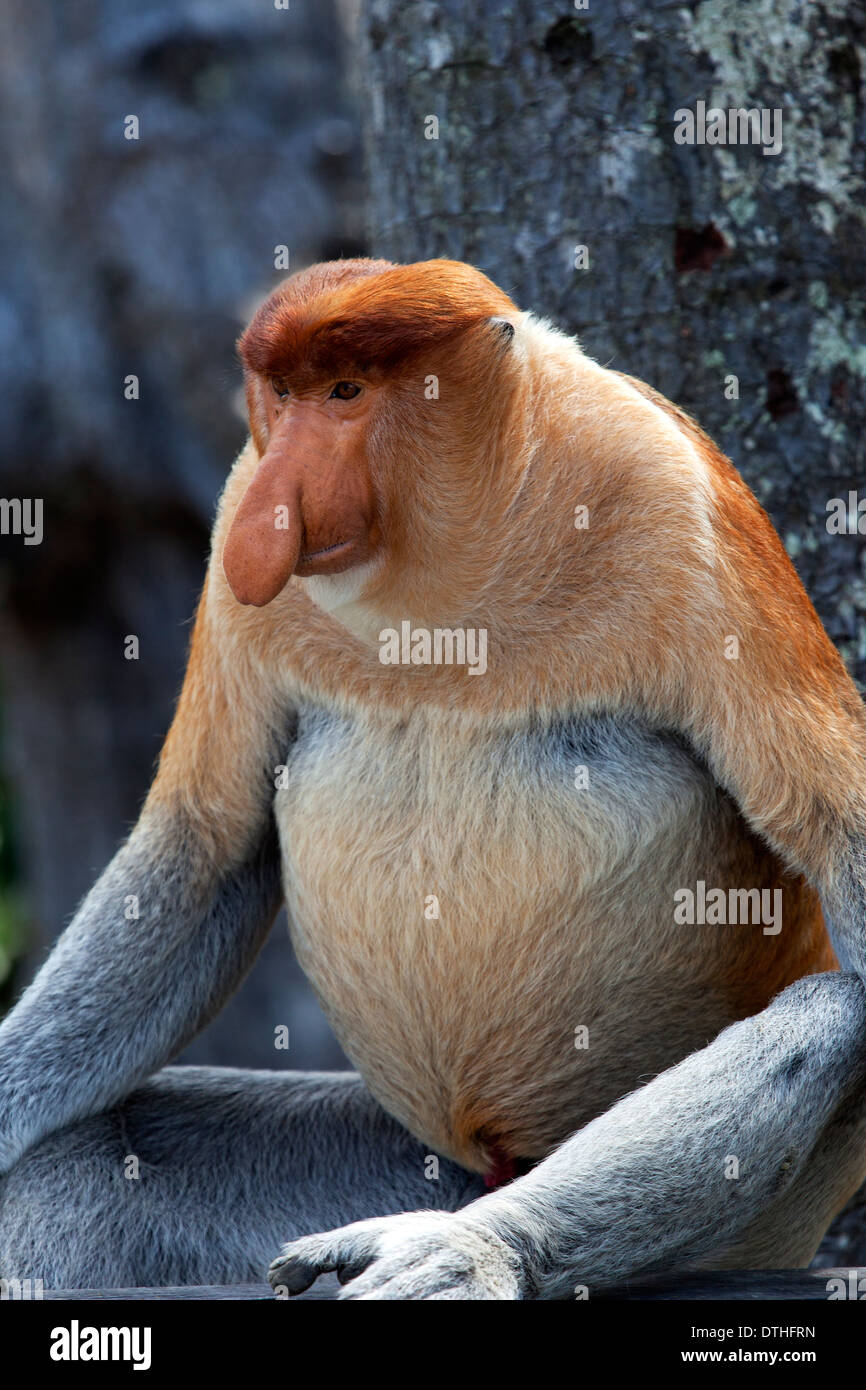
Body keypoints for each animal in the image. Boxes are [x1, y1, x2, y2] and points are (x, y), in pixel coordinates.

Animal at [2, 255, 866, 1300]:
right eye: (282, 395)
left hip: (763, 1225)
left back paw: (470, 1241)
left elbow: (845, 853)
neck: (444, 574)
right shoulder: (239, 503)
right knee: (87, 1162)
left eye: (346, 393)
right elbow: (206, 844)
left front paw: (471, 1255)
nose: (275, 512)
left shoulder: (678, 505)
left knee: (831, 1009)